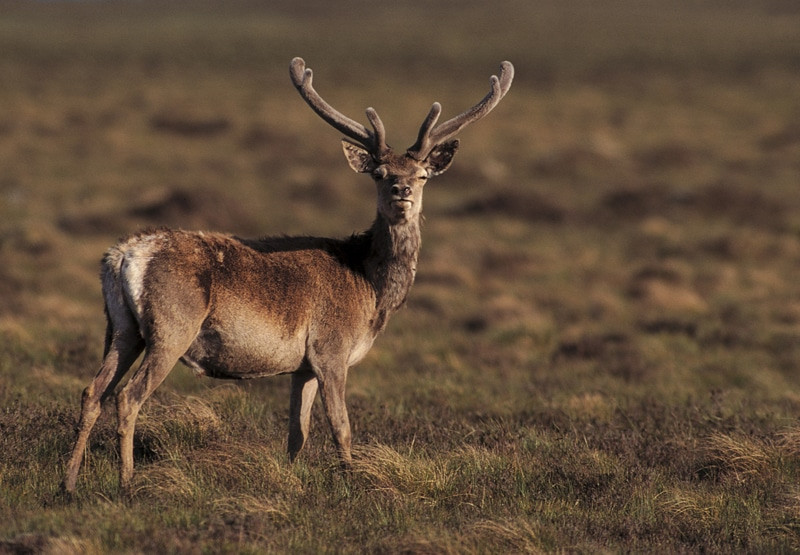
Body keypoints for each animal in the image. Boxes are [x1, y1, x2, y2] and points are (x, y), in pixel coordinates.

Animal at [61, 57, 514, 494]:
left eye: (421, 175)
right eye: (379, 174)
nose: (401, 191)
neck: (370, 291)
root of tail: (123, 255)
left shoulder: (302, 366)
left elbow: (297, 433)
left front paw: (292, 480)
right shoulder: (331, 348)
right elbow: (341, 427)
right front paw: (353, 482)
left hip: (122, 327)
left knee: (92, 391)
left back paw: (68, 483)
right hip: (172, 326)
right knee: (128, 396)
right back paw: (127, 483)